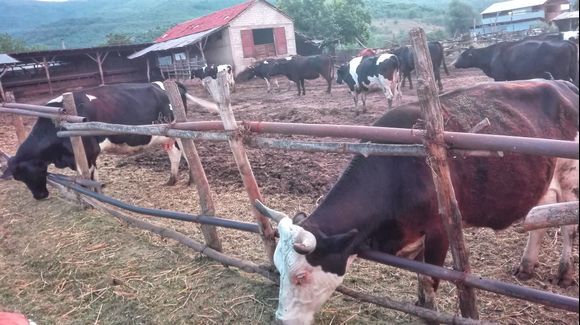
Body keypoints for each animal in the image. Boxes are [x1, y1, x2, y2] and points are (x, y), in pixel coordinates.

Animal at [1, 82, 193, 199]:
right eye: (19, 178)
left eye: (31, 172)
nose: (40, 196)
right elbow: (94, 175)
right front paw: (99, 194)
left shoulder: (88, 151)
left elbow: (88, 176)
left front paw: (91, 196)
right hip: (167, 136)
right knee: (174, 153)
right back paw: (171, 180)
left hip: (179, 131)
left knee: (187, 154)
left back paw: (189, 180)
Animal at [251, 79, 576, 324]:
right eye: (278, 268)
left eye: (301, 276)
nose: (281, 320)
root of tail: (562, 84)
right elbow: (421, 279)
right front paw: (421, 306)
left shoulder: (439, 232)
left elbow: (431, 278)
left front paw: (430, 314)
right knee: (539, 218)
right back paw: (526, 266)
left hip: (571, 179)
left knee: (568, 227)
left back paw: (564, 272)